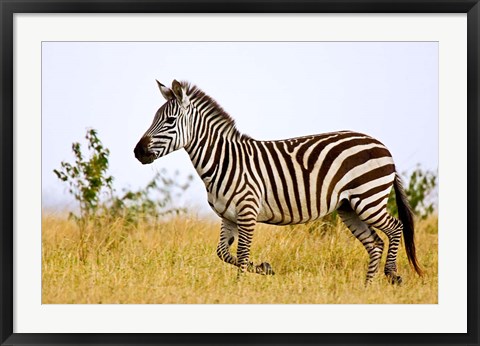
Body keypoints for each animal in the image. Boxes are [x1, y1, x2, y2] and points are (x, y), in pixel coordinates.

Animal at [133, 79, 422, 286]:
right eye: (154, 119)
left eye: (169, 121)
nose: (138, 152)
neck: (224, 160)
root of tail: (382, 145)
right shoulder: (228, 216)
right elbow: (223, 253)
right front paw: (264, 268)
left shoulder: (247, 211)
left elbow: (241, 253)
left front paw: (239, 288)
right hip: (349, 207)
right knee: (375, 243)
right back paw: (367, 288)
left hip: (368, 198)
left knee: (395, 228)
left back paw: (392, 274)